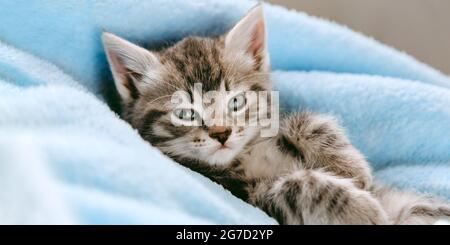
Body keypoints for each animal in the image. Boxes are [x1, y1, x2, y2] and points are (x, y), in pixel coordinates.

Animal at [102, 5, 450, 224]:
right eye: (186, 113)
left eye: (237, 101)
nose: (221, 134)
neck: (245, 156)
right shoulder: (249, 197)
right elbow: (298, 185)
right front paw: (363, 210)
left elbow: (303, 121)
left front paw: (349, 167)